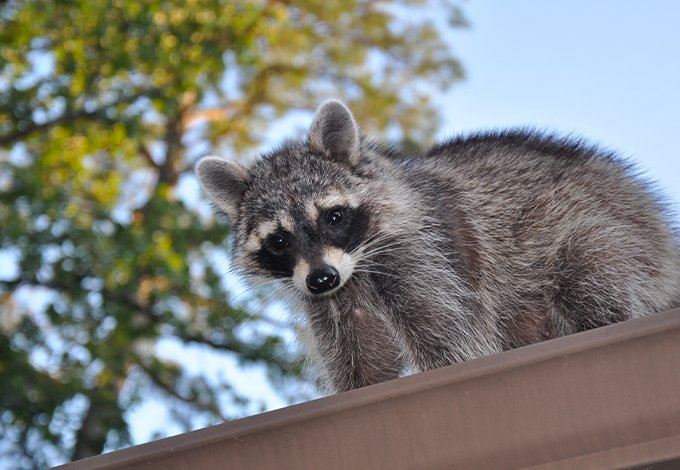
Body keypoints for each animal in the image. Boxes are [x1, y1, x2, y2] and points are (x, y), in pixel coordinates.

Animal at [195, 100, 680, 392]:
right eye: (278, 240)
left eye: (332, 217)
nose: (321, 278)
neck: (357, 267)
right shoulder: (334, 303)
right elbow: (363, 367)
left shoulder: (428, 256)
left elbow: (453, 341)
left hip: (616, 236)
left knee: (589, 266)